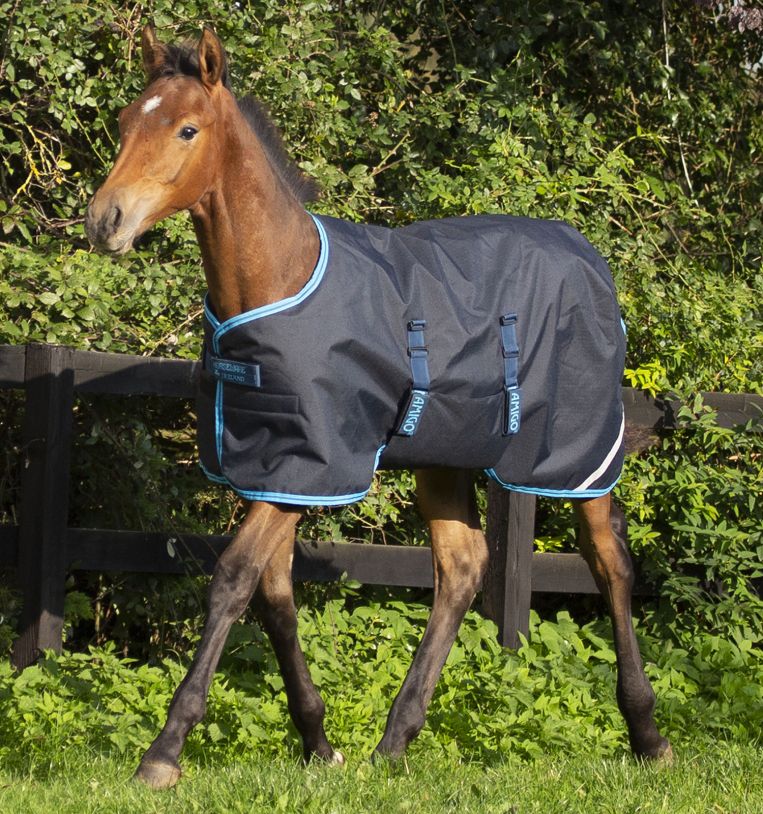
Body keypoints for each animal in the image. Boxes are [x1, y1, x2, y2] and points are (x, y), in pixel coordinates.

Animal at [84, 25, 672, 788]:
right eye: (128, 121)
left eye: (187, 129)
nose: (106, 221)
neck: (280, 279)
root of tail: (589, 259)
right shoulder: (276, 467)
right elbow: (274, 593)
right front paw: (319, 741)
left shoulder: (313, 464)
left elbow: (233, 580)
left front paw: (163, 753)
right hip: (444, 457)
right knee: (462, 567)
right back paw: (395, 740)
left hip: (577, 454)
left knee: (608, 563)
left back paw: (647, 735)